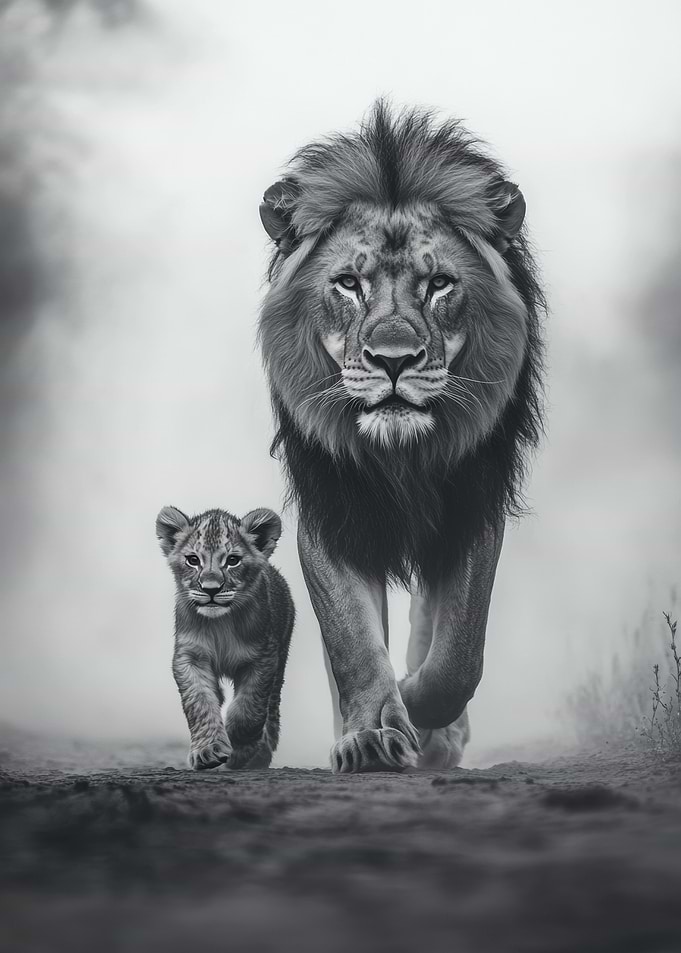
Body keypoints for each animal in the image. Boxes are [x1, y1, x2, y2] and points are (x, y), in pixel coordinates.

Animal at [257, 101, 544, 772]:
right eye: (348, 283)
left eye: (439, 284)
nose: (392, 360)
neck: (401, 456)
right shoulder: (332, 509)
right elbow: (353, 641)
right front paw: (370, 733)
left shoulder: (472, 505)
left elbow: (458, 654)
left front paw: (416, 704)